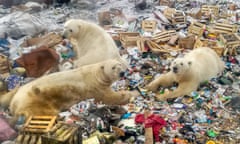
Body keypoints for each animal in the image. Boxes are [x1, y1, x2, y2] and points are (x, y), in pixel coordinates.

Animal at [0, 59, 137, 122]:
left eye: (120, 64)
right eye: (113, 67)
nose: (122, 72)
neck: (96, 74)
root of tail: (14, 102)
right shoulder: (95, 86)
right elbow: (109, 97)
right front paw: (132, 94)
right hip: (36, 99)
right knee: (42, 111)